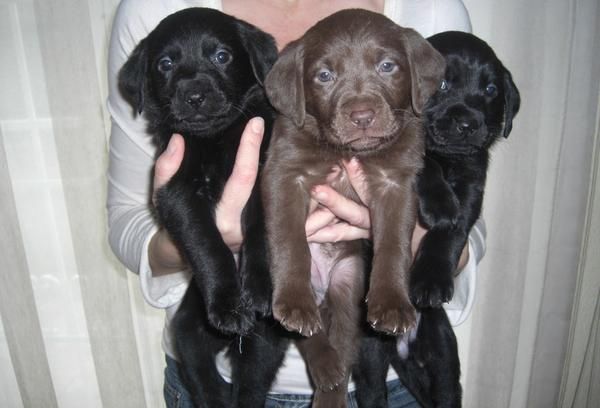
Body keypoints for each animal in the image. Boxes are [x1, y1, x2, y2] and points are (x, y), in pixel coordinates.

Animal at [116, 7, 276, 406]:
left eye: (221, 56)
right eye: (166, 64)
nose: (194, 95)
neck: (215, 140)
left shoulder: (268, 172)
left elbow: (263, 230)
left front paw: (261, 287)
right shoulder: (177, 193)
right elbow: (207, 245)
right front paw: (229, 304)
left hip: (263, 341)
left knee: (251, 384)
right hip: (187, 331)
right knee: (204, 379)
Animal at [260, 9, 442, 408]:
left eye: (387, 66)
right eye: (324, 75)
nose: (362, 116)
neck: (346, 151)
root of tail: (323, 289)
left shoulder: (396, 184)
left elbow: (394, 246)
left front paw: (393, 304)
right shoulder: (285, 174)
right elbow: (289, 242)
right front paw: (293, 300)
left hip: (349, 284)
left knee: (343, 343)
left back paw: (332, 382)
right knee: (309, 335)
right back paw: (318, 350)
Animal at [356, 31, 520, 408]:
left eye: (491, 90)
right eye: (442, 83)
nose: (469, 123)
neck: (449, 160)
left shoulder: (473, 184)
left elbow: (452, 232)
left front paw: (431, 278)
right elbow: (423, 163)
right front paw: (440, 203)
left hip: (441, 355)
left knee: (446, 392)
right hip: (369, 351)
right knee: (371, 390)